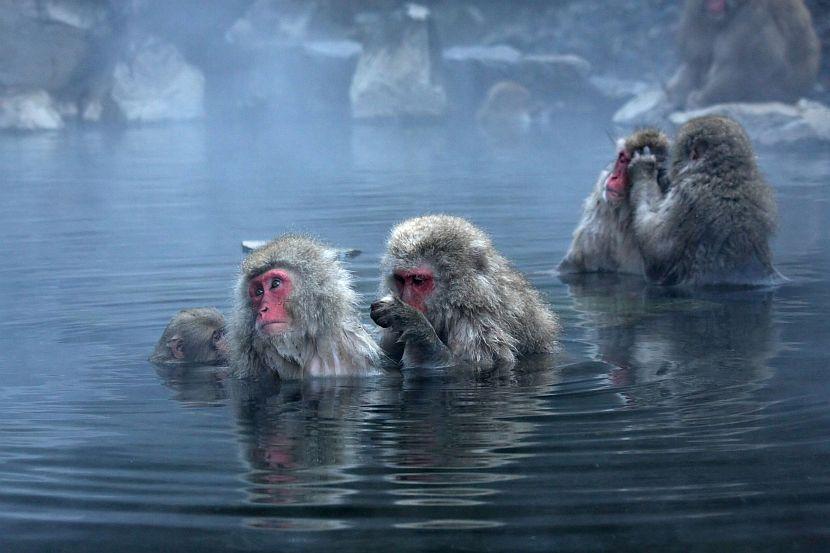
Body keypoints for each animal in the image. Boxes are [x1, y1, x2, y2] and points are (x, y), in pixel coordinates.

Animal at [374, 213, 564, 368]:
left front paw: (413, 323)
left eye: (418, 280)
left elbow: (472, 365)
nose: (405, 298)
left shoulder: (478, 324)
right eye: (400, 279)